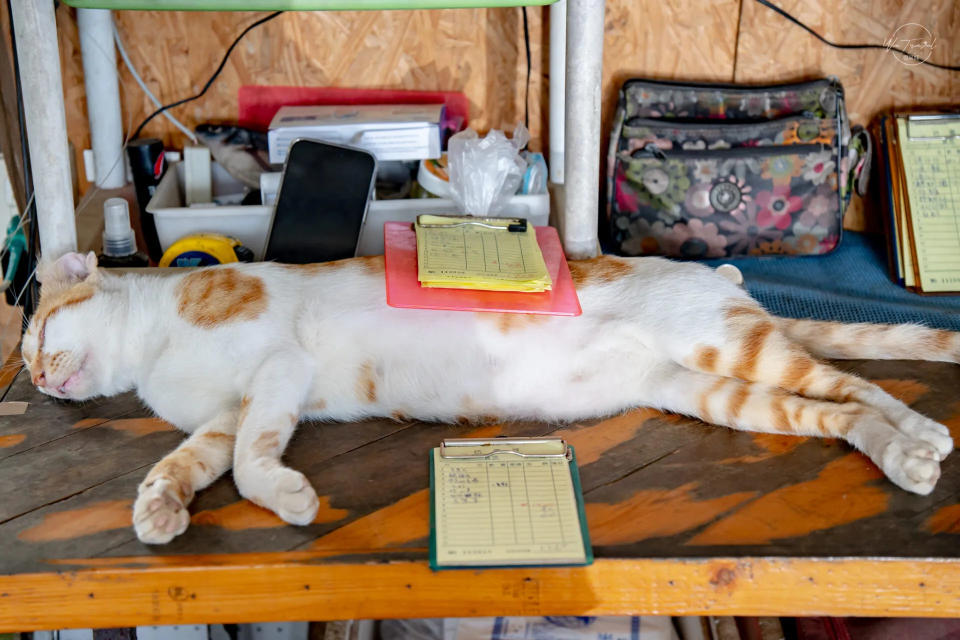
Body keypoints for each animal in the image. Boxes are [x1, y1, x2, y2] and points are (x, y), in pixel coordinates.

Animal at [18, 252, 956, 544]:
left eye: (35, 332)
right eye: (25, 360)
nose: (35, 378)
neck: (151, 355)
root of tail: (720, 275)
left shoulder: (277, 370)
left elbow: (251, 464)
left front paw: (289, 498)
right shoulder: (224, 413)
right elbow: (192, 458)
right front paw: (158, 507)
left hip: (728, 343)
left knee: (857, 383)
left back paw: (922, 435)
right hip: (710, 390)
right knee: (837, 414)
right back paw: (901, 455)